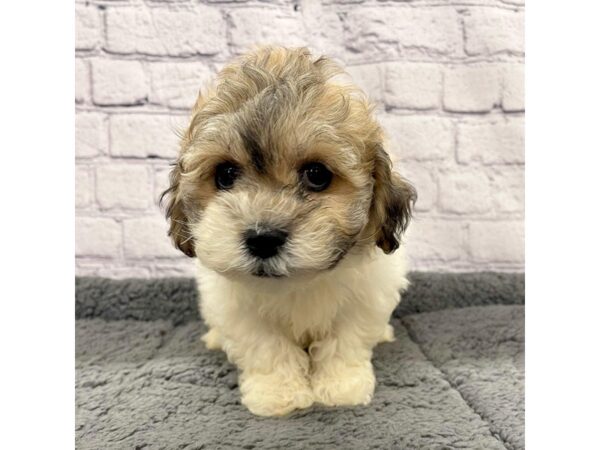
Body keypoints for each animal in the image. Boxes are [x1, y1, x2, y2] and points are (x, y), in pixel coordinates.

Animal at [164, 47, 418, 416]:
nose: (263, 238)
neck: (298, 284)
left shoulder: (366, 297)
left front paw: (342, 388)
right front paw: (277, 394)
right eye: (225, 174)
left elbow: (345, 342)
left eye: (317, 174)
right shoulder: (237, 310)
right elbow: (267, 348)